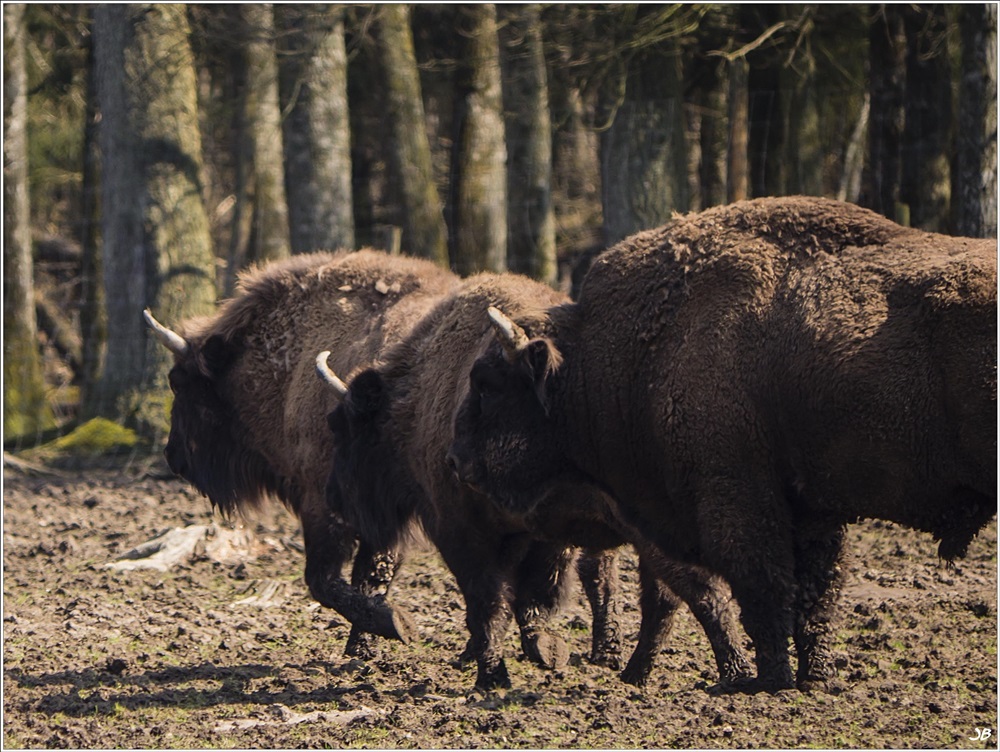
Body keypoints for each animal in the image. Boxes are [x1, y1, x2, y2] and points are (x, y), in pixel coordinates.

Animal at [144, 248, 458, 652]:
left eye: (178, 382)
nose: (173, 457)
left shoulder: (323, 502)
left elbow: (323, 581)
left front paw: (393, 625)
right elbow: (371, 577)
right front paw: (366, 645)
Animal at [320, 274, 752, 692]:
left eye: (347, 429)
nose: (335, 499)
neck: (414, 403)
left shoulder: (465, 533)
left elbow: (490, 603)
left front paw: (494, 675)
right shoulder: (532, 533)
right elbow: (522, 598)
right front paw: (533, 652)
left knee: (695, 592)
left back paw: (732, 675)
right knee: (667, 596)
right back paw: (639, 674)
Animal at [450, 197, 996, 692]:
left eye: (488, 383)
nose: (456, 460)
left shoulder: (736, 499)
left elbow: (766, 591)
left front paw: (769, 682)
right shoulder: (810, 510)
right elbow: (813, 598)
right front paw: (814, 679)